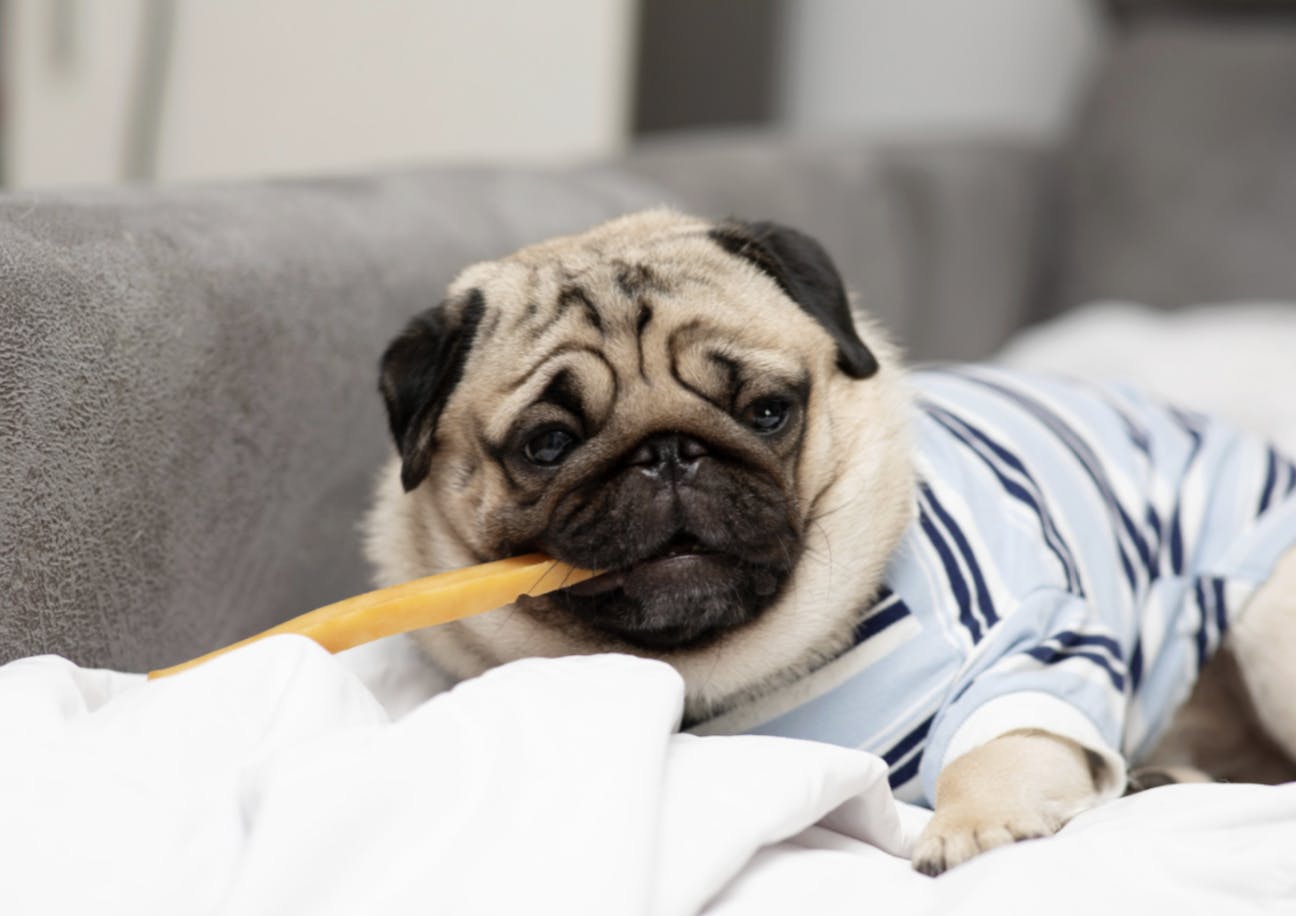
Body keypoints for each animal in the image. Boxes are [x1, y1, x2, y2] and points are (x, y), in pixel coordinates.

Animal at [362, 209, 1296, 875]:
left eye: (768, 410)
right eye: (548, 445)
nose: (668, 454)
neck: (722, 672)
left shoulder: (1036, 643)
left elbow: (999, 745)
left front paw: (974, 826)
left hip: (1269, 637)